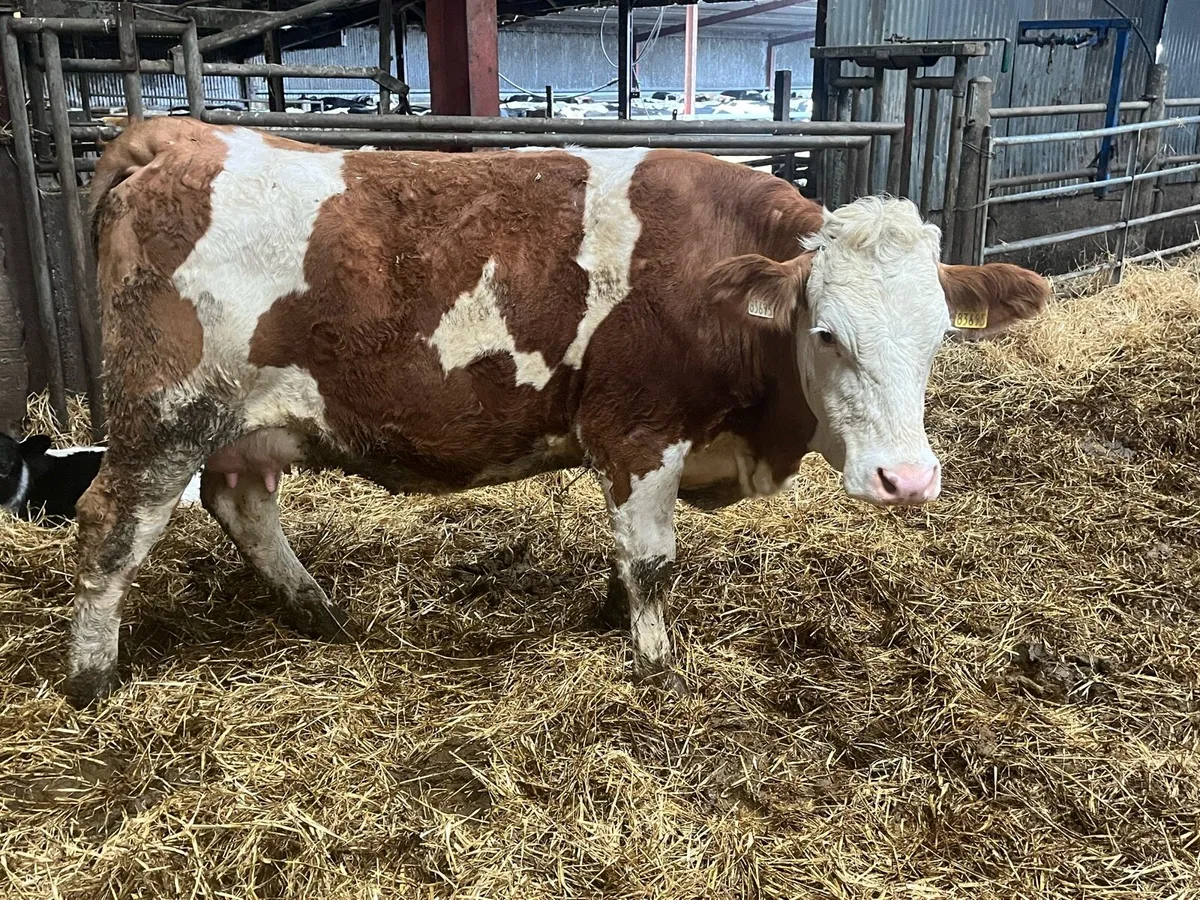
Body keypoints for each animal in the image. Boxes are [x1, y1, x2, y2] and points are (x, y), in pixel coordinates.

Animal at [65, 116, 1048, 707]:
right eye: (829, 334)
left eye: (939, 337)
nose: (906, 479)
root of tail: (185, 137)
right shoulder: (637, 431)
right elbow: (652, 561)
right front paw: (653, 662)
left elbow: (624, 556)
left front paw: (614, 620)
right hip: (164, 412)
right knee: (110, 527)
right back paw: (91, 676)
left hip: (240, 422)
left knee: (241, 501)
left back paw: (318, 610)